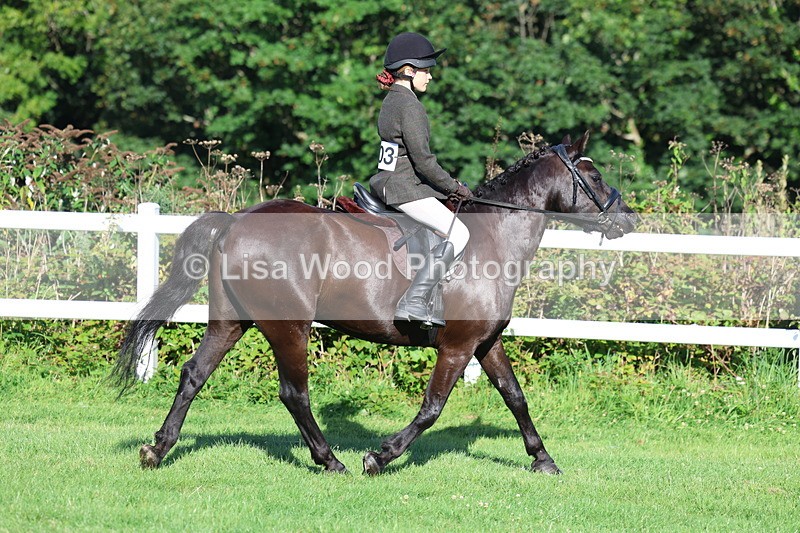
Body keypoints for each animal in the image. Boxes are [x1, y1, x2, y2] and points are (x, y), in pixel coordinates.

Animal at [113, 131, 637, 475]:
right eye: (593, 175)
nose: (628, 219)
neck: (494, 240)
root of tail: (236, 221)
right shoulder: (457, 346)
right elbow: (432, 407)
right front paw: (379, 456)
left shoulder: (484, 343)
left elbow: (515, 397)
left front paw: (543, 459)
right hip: (289, 326)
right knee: (294, 392)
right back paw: (331, 462)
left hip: (230, 321)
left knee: (194, 375)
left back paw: (157, 450)